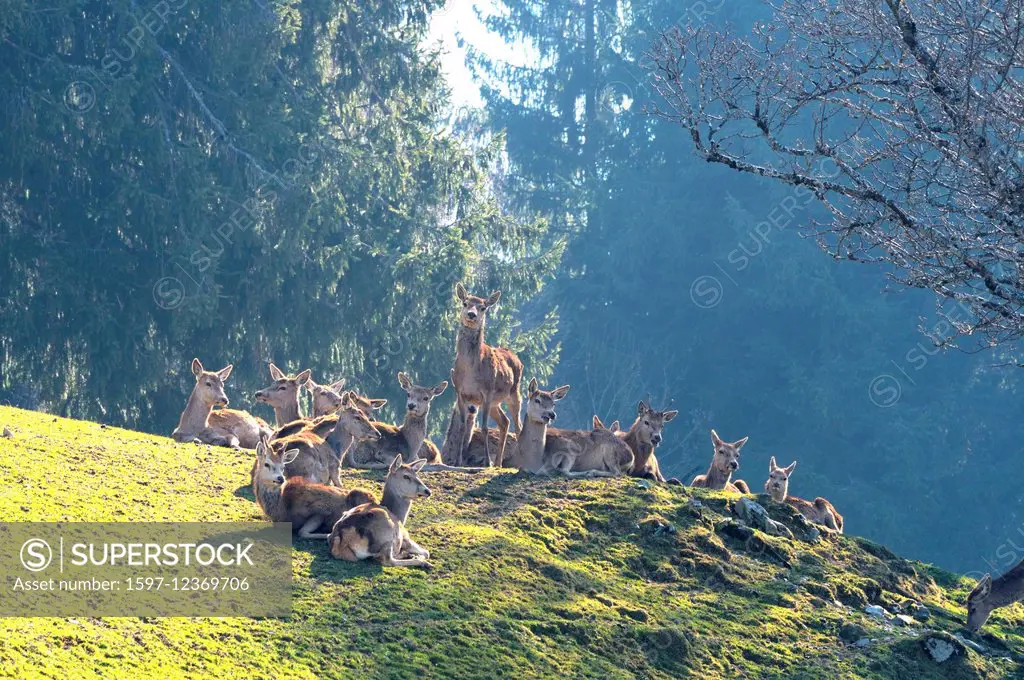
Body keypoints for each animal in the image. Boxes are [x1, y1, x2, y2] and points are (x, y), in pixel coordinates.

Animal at [452, 280, 524, 466]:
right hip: (494, 404)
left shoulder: (487, 392)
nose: (471, 314)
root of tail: (517, 358)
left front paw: (487, 462)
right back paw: (498, 462)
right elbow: (462, 427)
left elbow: (484, 428)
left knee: (518, 425)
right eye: (465, 303)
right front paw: (457, 461)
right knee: (504, 422)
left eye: (483, 308)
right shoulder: (460, 392)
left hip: (514, 392)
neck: (470, 372)